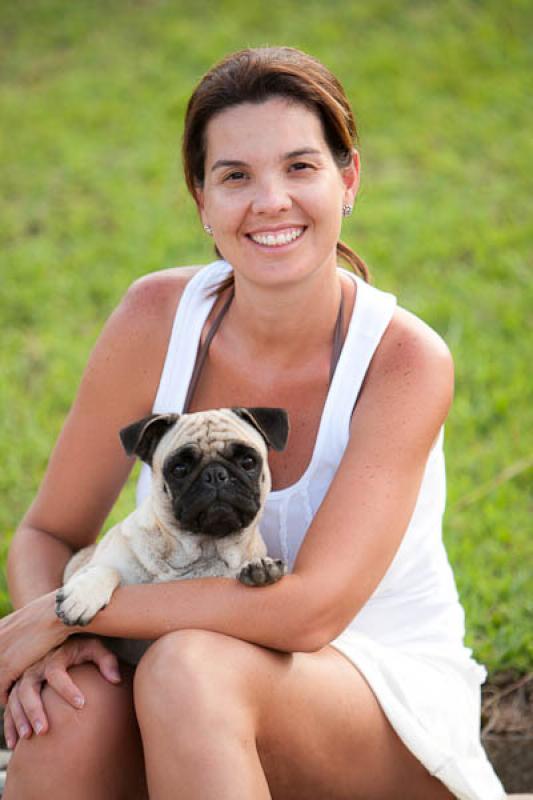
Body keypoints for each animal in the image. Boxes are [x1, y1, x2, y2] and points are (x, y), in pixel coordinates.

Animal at [54, 410, 288, 636]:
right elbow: (107, 570)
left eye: (248, 462)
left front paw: (261, 569)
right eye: (179, 469)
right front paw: (83, 594)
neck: (203, 551)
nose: (214, 474)